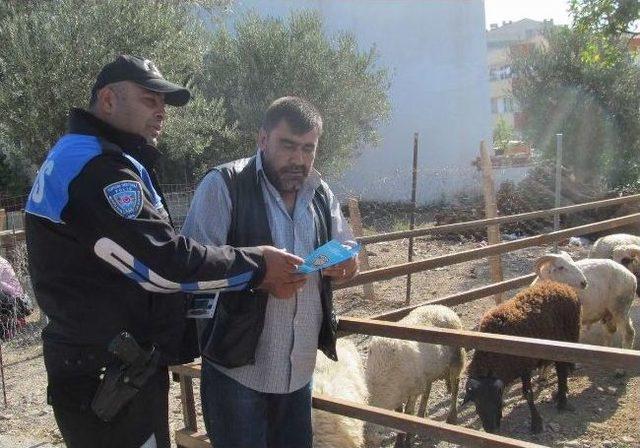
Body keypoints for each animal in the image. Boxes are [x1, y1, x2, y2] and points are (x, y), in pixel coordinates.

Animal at [364, 304, 464, 444]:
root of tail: (443, 307)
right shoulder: (399, 392)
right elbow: (399, 414)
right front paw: (400, 441)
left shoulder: (413, 390)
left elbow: (408, 415)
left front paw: (405, 441)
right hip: (427, 372)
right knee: (427, 392)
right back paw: (422, 415)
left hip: (456, 360)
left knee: (455, 387)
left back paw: (451, 417)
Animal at [462, 282, 584, 432]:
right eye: (476, 402)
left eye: (495, 399)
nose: (490, 429)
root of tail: (562, 285)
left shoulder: (525, 367)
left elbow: (528, 394)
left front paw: (536, 424)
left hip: (567, 340)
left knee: (562, 370)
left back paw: (562, 401)